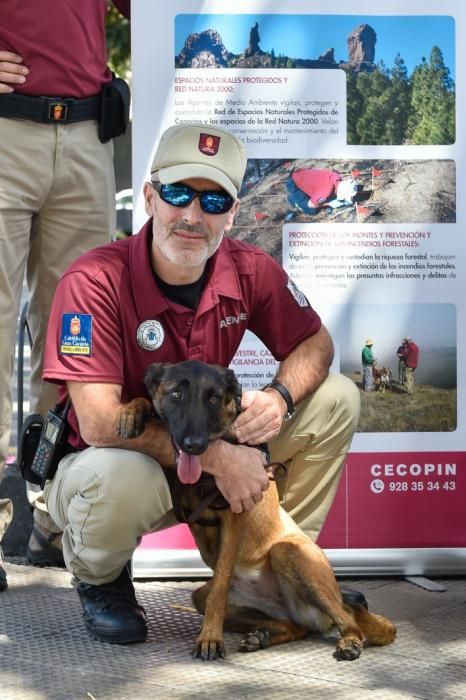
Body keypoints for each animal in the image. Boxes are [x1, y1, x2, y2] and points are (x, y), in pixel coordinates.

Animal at [117, 360, 396, 660]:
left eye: (213, 399)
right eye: (176, 395)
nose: (194, 444)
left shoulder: (232, 518)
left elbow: (219, 591)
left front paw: (210, 638)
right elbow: (146, 400)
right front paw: (131, 411)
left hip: (288, 552)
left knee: (347, 617)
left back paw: (349, 641)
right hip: (203, 598)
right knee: (298, 626)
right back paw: (262, 636)